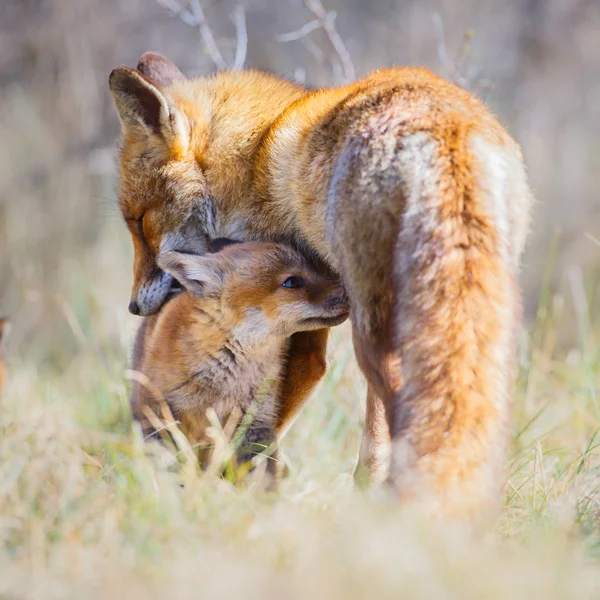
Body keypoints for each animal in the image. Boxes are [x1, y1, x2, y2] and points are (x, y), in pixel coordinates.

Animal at [131, 241, 346, 480]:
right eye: (292, 282)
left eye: (313, 269)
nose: (349, 293)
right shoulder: (158, 413)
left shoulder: (255, 422)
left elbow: (261, 477)